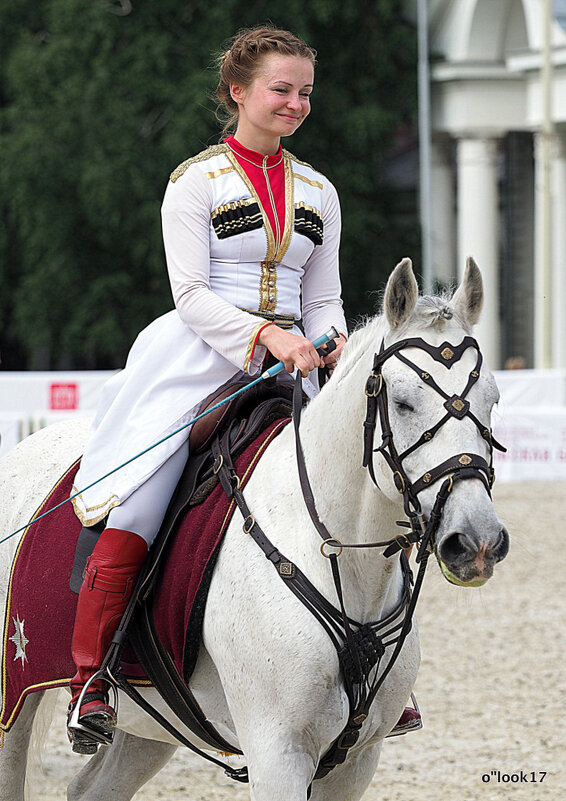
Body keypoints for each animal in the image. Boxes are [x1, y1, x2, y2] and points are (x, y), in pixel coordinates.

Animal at [0, 260, 510, 796]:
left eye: (493, 401)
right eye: (405, 403)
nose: (476, 542)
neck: (336, 556)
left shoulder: (355, 761)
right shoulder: (277, 755)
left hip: (153, 726)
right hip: (16, 698)